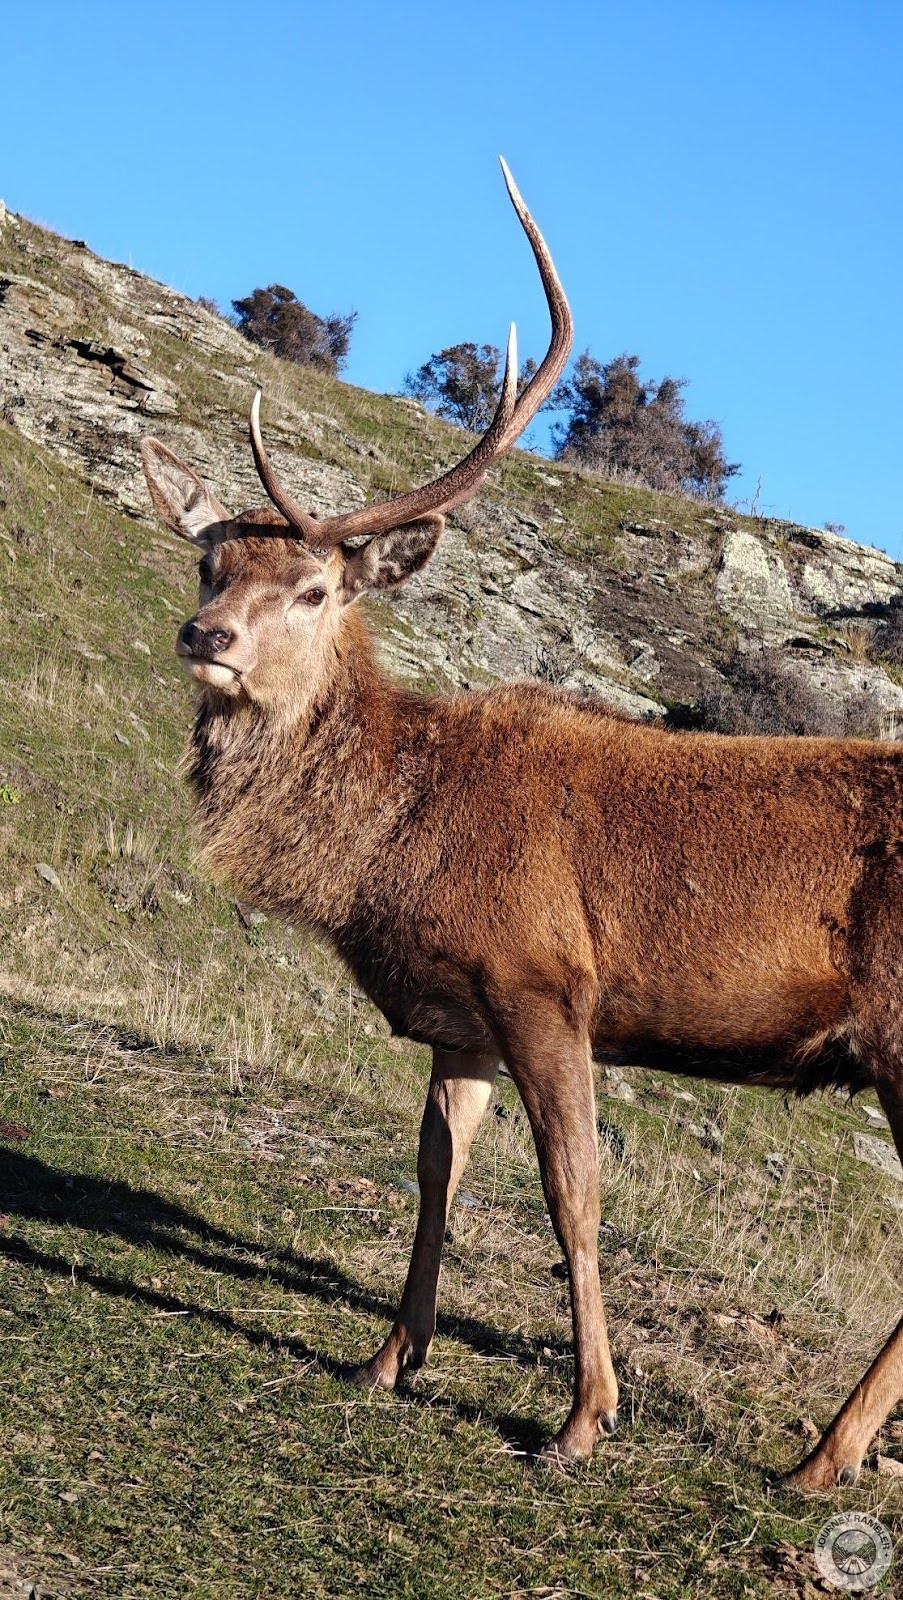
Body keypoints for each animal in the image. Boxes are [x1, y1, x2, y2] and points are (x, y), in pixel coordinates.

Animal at [140, 159, 903, 1494]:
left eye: (316, 588)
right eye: (207, 566)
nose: (207, 637)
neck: (394, 846)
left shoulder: (543, 977)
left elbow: (573, 1190)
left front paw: (584, 1416)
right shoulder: (463, 1017)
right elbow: (435, 1166)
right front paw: (387, 1358)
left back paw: (821, 1457)